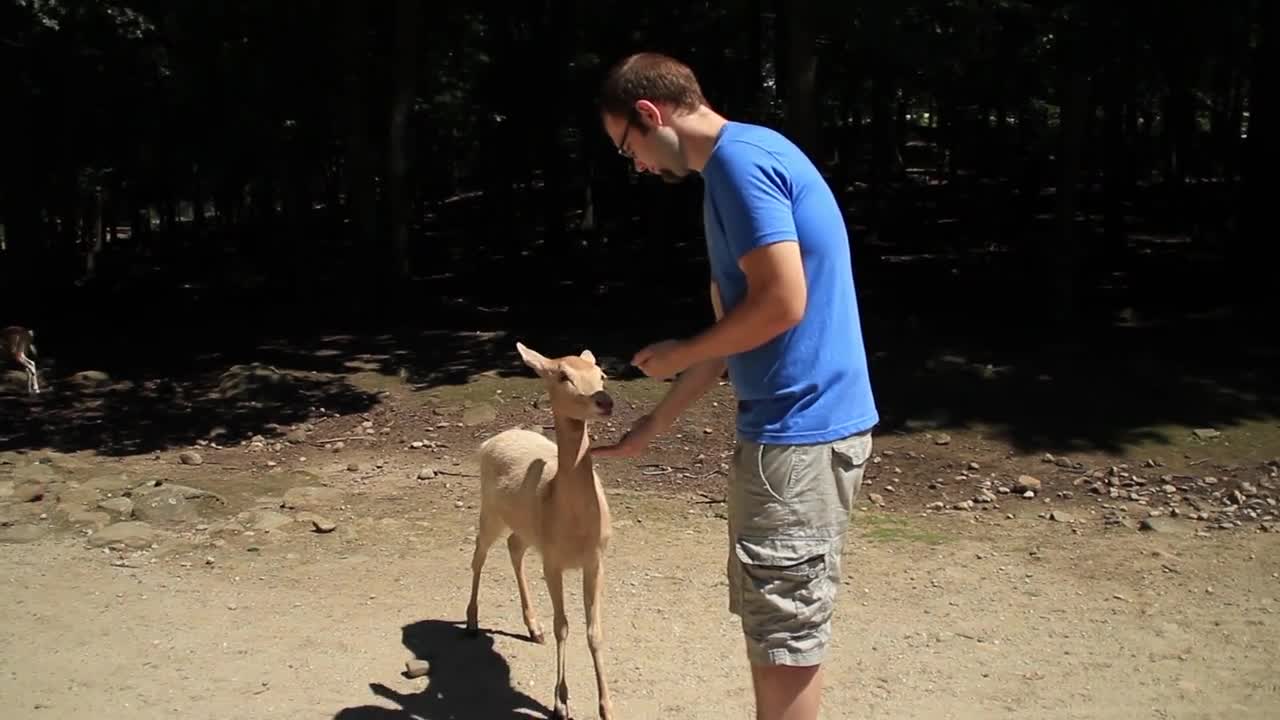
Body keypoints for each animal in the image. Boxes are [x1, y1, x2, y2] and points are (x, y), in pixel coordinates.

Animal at [465, 340, 614, 717]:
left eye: (602, 374)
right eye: (563, 376)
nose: (605, 400)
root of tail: (489, 441)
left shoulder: (596, 560)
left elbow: (594, 632)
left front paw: (607, 707)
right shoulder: (553, 561)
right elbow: (563, 626)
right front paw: (560, 703)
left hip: (524, 529)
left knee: (514, 547)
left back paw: (533, 628)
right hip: (490, 511)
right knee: (478, 554)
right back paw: (471, 623)